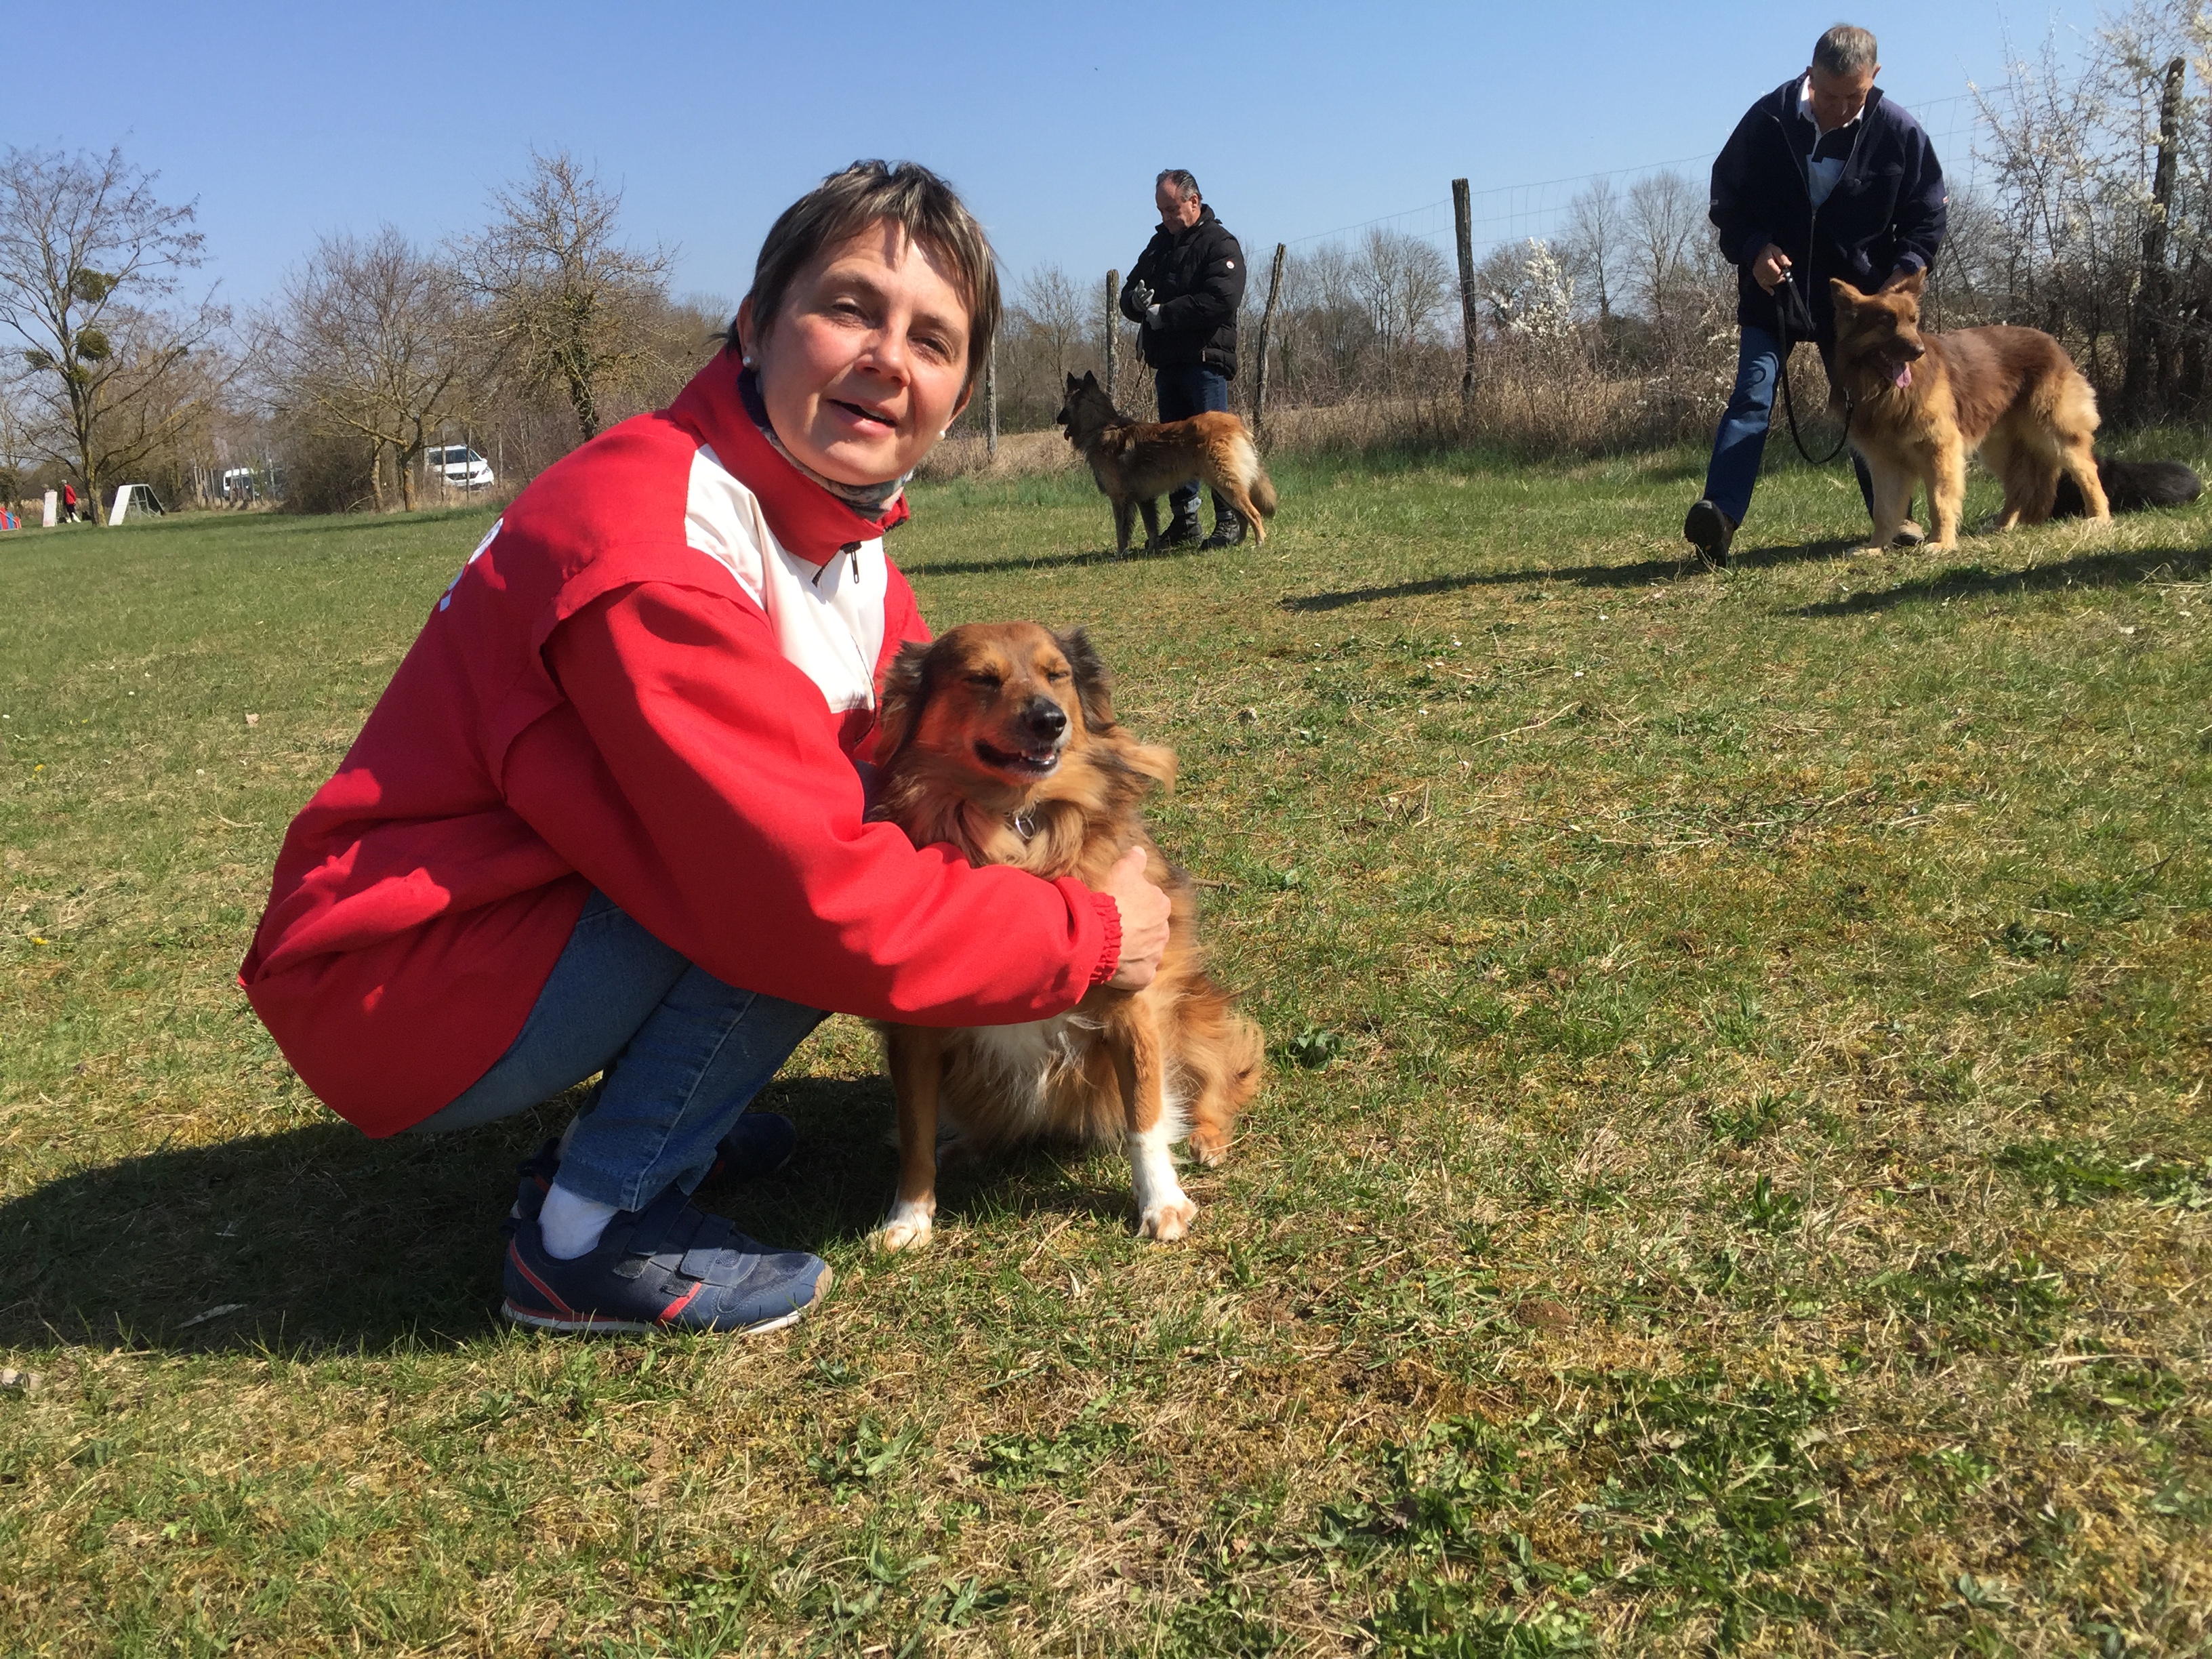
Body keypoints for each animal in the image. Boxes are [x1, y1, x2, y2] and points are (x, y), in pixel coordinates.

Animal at [872, 628, 1274, 1256]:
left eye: (1057, 674)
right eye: (981, 679)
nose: (1049, 721)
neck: (1015, 822)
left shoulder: (1132, 1002)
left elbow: (1145, 1117)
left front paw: (1162, 1202)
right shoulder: (913, 1032)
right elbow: (914, 1134)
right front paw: (910, 1216)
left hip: (1193, 1012)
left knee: (1217, 1080)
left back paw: (1206, 1138)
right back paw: (964, 1147)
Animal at [1052, 369, 1283, 559]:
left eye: (1066, 402)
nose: (1057, 418)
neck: (1102, 427)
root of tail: (1235, 424)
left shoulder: (1119, 499)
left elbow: (1122, 531)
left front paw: (1119, 555)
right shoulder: (1145, 499)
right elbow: (1151, 527)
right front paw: (1153, 550)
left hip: (1226, 484)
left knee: (1253, 513)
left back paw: (1258, 543)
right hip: (1222, 487)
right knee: (1242, 517)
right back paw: (1237, 543)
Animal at [1822, 270, 2114, 548]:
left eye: (1913, 321)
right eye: (1886, 321)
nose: (1918, 351)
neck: (1884, 389)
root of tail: (2052, 342)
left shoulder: (1940, 450)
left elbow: (1939, 500)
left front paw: (1941, 543)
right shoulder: (1886, 463)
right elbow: (1884, 510)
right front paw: (1875, 547)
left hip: (2053, 432)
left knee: (2087, 471)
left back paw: (2099, 517)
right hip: (2000, 449)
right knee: (2018, 485)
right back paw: (2002, 525)